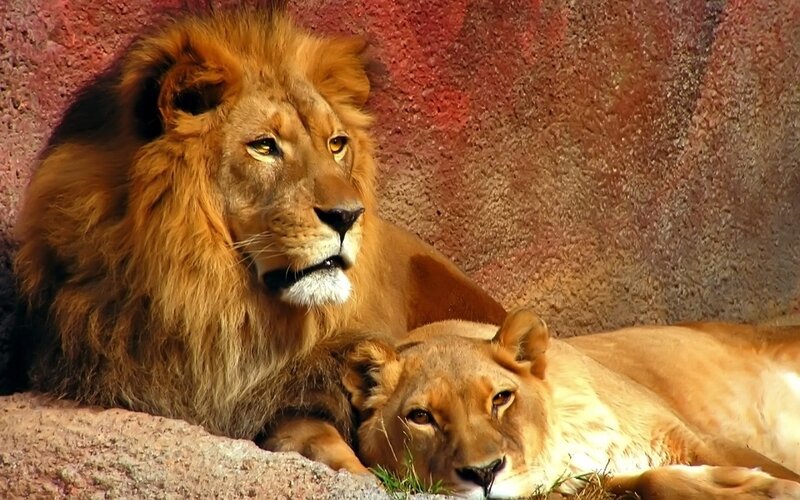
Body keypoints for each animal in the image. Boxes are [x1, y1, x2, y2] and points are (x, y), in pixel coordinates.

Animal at [345, 308, 800, 498]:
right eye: (420, 417)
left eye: (501, 398)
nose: (484, 473)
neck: (571, 437)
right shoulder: (590, 482)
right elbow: (652, 481)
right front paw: (747, 488)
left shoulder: (692, 437)